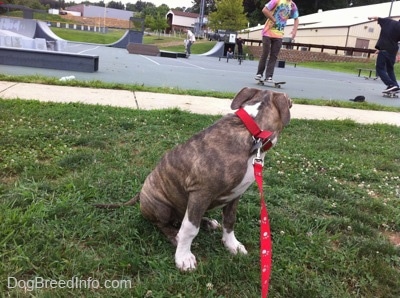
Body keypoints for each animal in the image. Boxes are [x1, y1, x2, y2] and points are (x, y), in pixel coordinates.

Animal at [95, 87, 292, 272]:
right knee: (164, 224)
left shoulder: (235, 195)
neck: (252, 132)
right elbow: (189, 230)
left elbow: (229, 221)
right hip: (162, 206)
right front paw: (183, 257)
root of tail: (141, 191)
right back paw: (174, 235)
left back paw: (207, 222)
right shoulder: (201, 192)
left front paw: (232, 245)